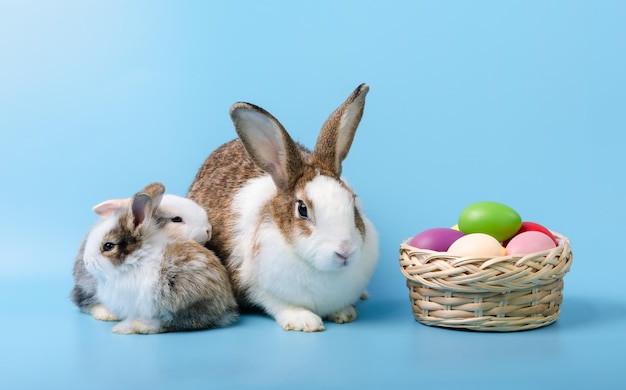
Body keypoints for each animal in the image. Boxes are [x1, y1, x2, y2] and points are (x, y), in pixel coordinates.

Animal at [188, 84, 378, 330]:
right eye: (302, 209)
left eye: (352, 201)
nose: (345, 251)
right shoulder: (257, 287)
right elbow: (278, 304)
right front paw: (305, 322)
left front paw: (344, 313)